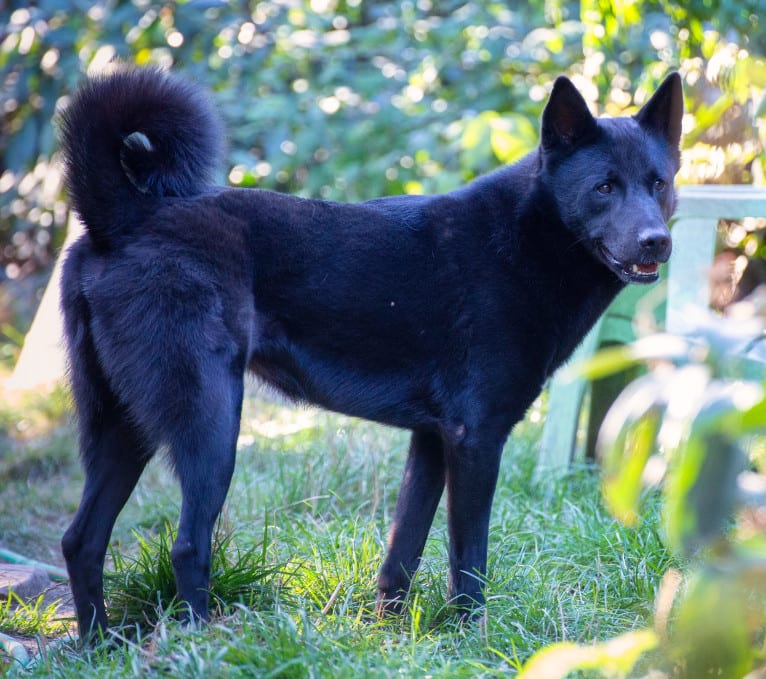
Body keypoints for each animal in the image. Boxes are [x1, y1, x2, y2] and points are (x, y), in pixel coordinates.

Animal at [60, 66, 684, 636]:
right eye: (604, 187)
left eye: (658, 184)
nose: (657, 241)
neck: (529, 236)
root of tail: (128, 216)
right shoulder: (477, 438)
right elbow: (469, 559)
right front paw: (472, 639)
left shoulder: (433, 440)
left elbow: (403, 552)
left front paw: (392, 636)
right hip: (211, 424)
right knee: (188, 545)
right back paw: (202, 642)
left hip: (121, 428)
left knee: (80, 541)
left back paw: (99, 646)